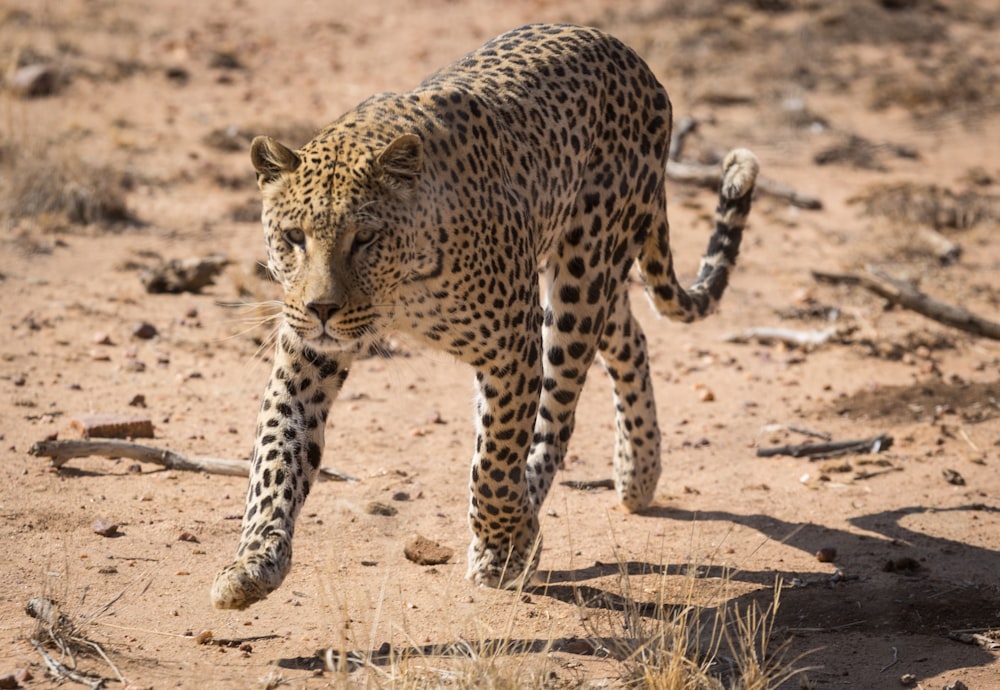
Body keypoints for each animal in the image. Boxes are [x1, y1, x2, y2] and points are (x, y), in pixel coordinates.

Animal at [213, 21, 756, 608]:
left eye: (365, 238)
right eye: (294, 237)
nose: (322, 309)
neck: (401, 289)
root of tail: (625, 51)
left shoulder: (512, 347)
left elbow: (494, 461)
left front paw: (504, 545)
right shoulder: (306, 356)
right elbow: (277, 452)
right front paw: (253, 562)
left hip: (581, 277)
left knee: (557, 417)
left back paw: (534, 518)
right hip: (590, 273)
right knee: (630, 335)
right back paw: (638, 475)